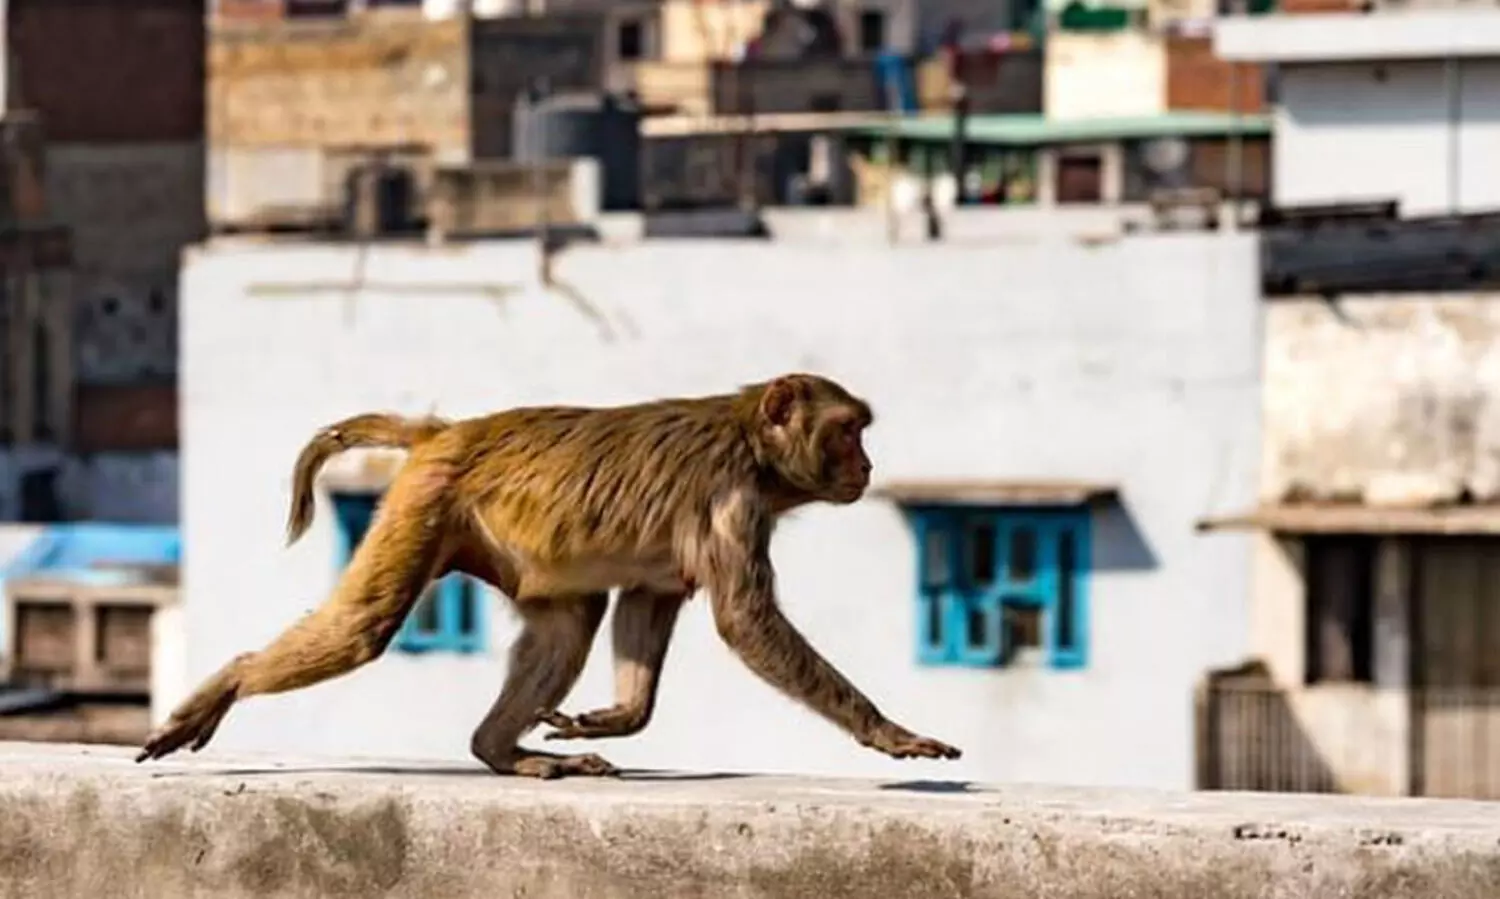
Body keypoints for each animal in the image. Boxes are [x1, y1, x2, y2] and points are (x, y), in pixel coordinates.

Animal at [136, 374, 962, 778]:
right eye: (848, 430)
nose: (867, 465)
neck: (751, 446)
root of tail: (447, 431)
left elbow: (649, 600)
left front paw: (618, 715)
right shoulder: (732, 498)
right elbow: (744, 619)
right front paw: (887, 730)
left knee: (571, 618)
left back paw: (500, 750)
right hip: (427, 500)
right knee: (361, 628)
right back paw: (232, 680)